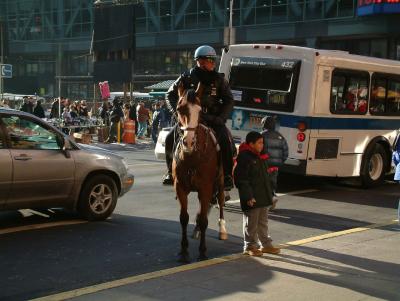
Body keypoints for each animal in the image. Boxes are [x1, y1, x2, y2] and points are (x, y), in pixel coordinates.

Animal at [173, 83, 227, 262]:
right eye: (179, 109)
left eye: (200, 110)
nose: (188, 142)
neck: (192, 156)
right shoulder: (180, 187)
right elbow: (184, 218)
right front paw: (184, 251)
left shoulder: (205, 187)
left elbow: (204, 220)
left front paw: (202, 251)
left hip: (221, 181)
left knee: (221, 200)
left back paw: (222, 229)